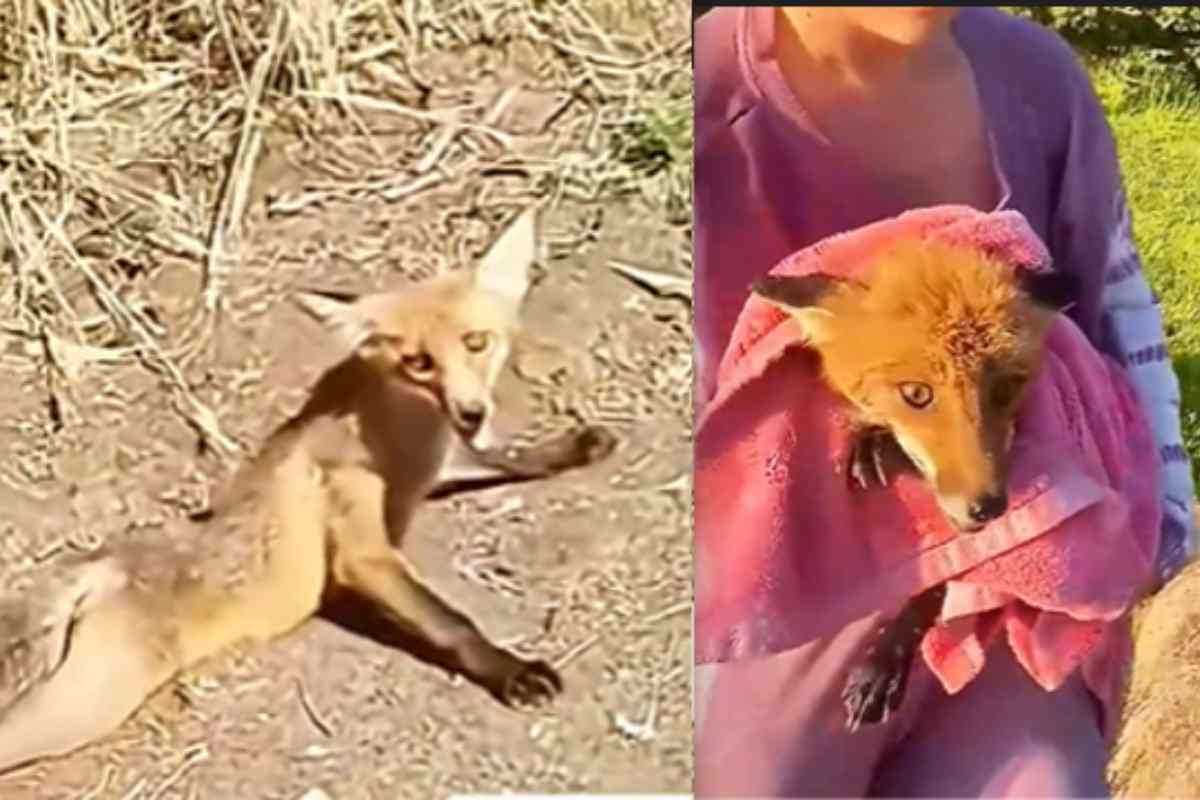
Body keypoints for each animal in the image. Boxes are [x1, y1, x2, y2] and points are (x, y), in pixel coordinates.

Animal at [0, 209, 617, 774]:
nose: (470, 412)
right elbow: (452, 621)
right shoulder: (362, 553)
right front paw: (512, 670)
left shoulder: (441, 465)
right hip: (94, 700)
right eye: (419, 362)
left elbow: (508, 459)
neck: (401, 434)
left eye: (476, 342)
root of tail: (100, 563)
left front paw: (576, 446)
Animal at [752, 239, 1078, 731]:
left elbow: (941, 588)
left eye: (1004, 390)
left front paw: (884, 662)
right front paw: (869, 438)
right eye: (916, 394)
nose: (989, 507)